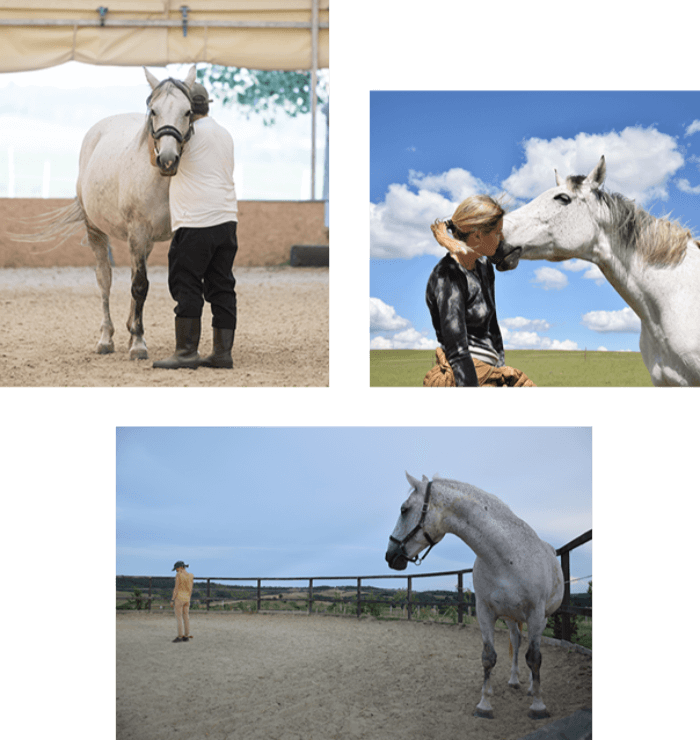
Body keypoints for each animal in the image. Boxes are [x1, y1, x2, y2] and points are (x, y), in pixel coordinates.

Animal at [16, 66, 196, 359]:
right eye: (154, 110)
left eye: (188, 111)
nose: (168, 160)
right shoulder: (137, 233)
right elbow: (139, 286)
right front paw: (138, 343)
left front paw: (139, 336)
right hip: (97, 231)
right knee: (105, 280)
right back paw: (106, 338)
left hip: (142, 243)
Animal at [386, 472, 564, 720]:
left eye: (404, 509)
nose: (389, 555)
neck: (507, 559)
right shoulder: (484, 612)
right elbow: (488, 657)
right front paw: (484, 704)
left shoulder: (536, 613)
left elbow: (535, 658)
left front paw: (538, 706)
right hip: (510, 617)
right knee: (517, 640)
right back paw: (513, 681)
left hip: (541, 617)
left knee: (530, 649)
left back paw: (530, 687)